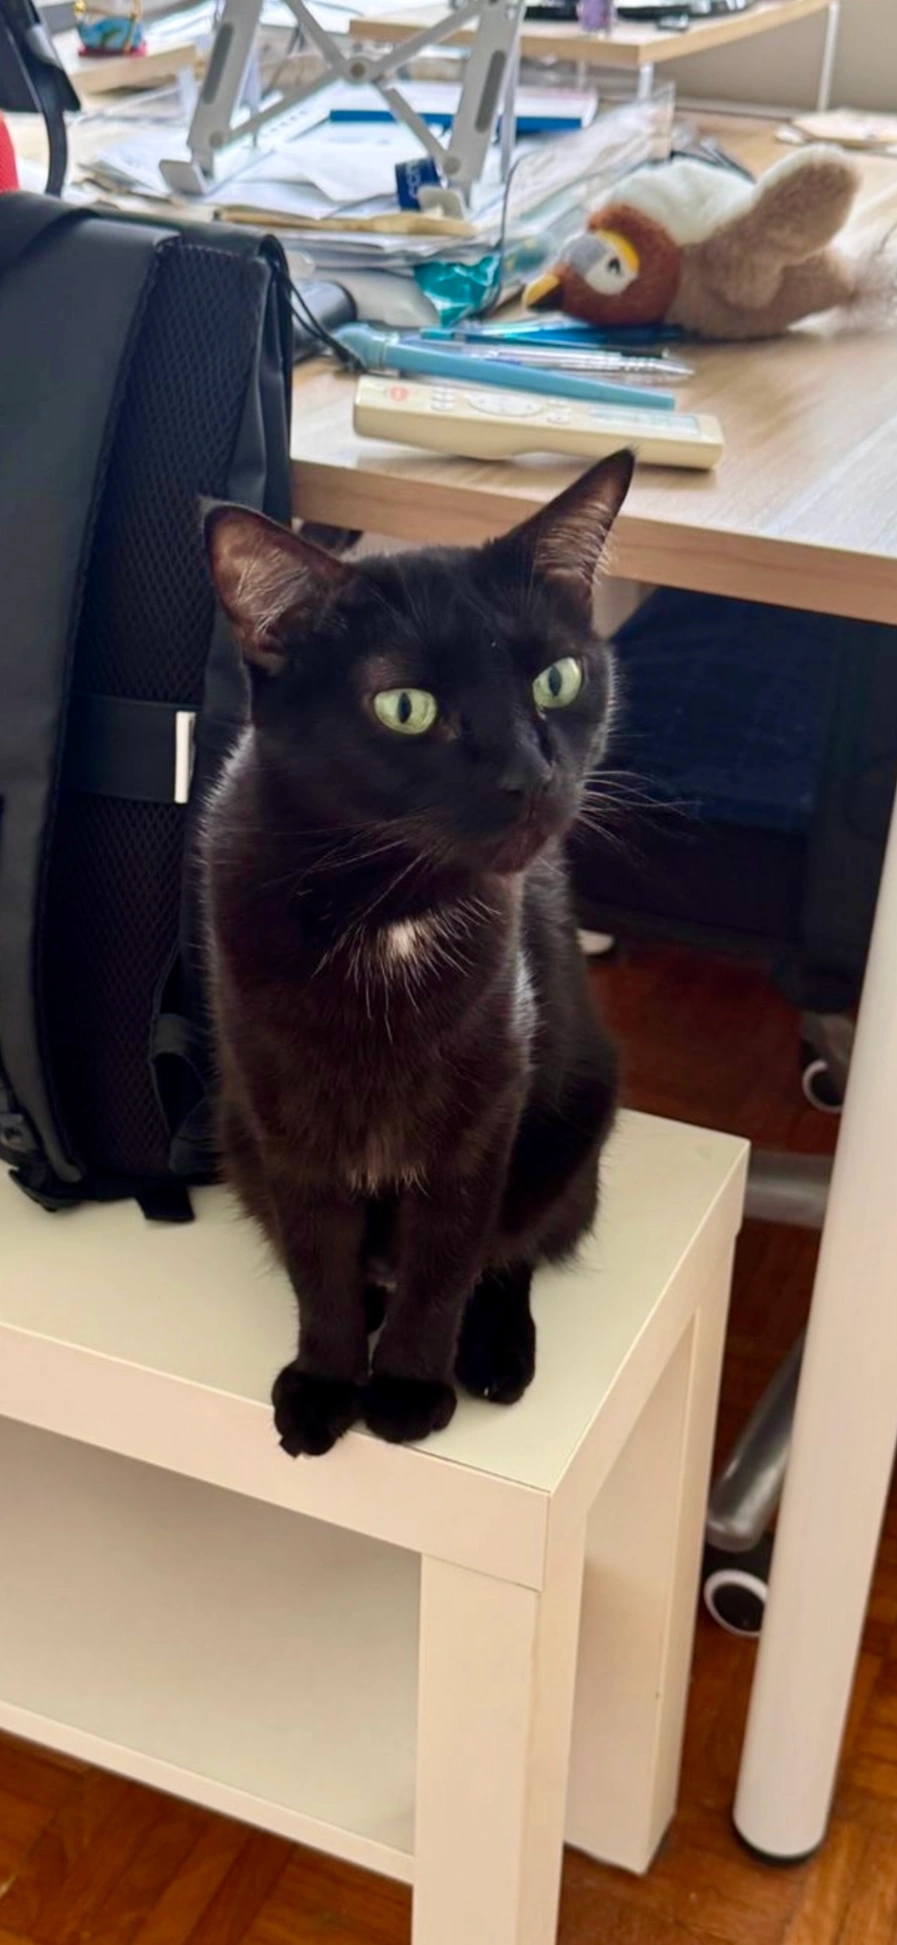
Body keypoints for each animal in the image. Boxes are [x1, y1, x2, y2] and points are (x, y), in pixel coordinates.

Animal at [201, 450, 633, 1456]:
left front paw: (405, 1384)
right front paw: (327, 1377)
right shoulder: (284, 1115)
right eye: (405, 707)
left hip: (572, 1122)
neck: (386, 910)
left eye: (557, 681)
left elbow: (449, 1251)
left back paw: (496, 1351)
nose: (530, 774)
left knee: (516, 1248)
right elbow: (317, 1255)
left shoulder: (485, 1103)